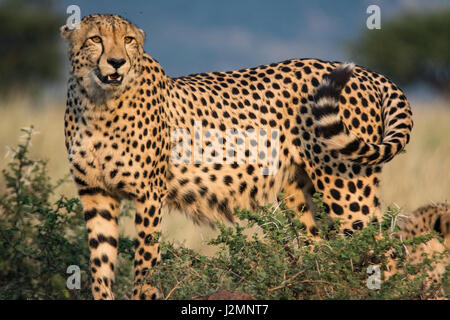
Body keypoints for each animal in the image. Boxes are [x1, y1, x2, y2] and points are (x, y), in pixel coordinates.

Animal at [61, 14, 414, 300]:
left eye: (128, 40)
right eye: (96, 39)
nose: (117, 62)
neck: (98, 103)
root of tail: (366, 73)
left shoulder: (149, 195)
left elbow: (144, 261)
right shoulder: (96, 195)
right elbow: (100, 263)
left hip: (347, 189)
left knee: (386, 253)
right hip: (301, 194)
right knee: (323, 251)